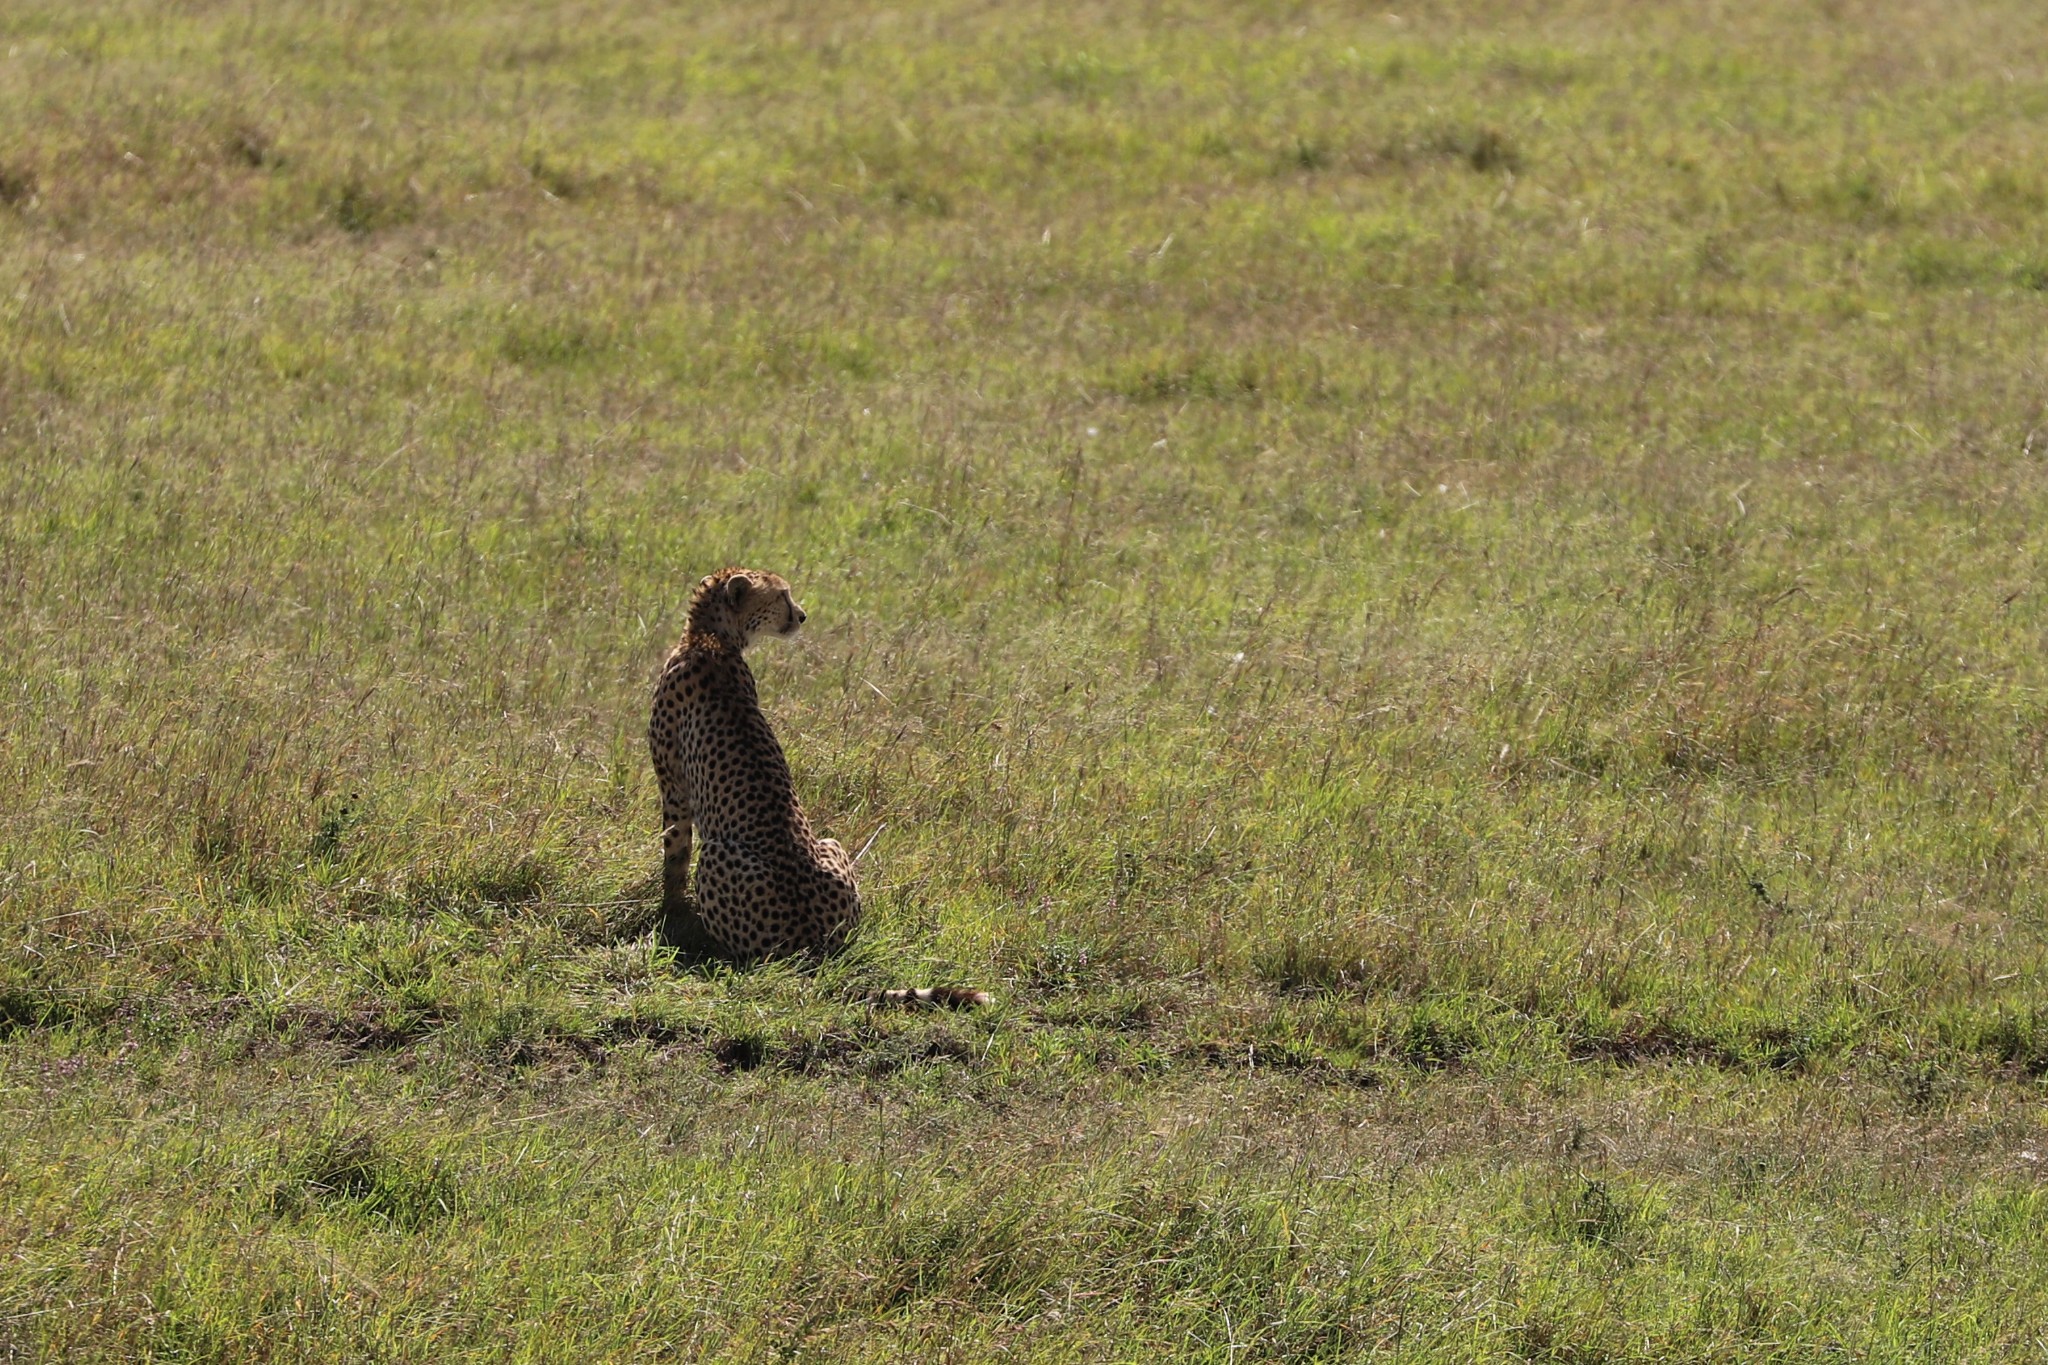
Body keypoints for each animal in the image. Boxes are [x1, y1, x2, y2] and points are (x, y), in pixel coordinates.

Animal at [643, 564, 987, 1002]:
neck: (710, 636)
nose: (803, 616)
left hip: (719, 855)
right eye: (782, 596)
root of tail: (812, 946)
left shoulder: (673, 785)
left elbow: (674, 854)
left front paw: (670, 914)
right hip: (830, 843)